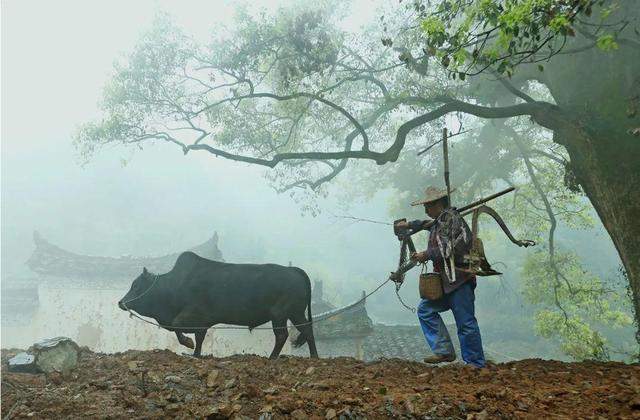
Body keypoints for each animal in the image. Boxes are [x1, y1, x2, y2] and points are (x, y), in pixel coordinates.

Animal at [117, 251, 318, 360]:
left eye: (136, 286)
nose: (121, 303)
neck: (175, 285)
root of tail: (294, 270)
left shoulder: (193, 316)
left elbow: (178, 327)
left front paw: (188, 344)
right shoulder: (202, 323)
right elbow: (198, 338)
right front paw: (195, 353)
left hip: (280, 315)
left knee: (283, 335)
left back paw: (273, 358)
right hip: (294, 314)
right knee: (307, 330)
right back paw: (314, 356)